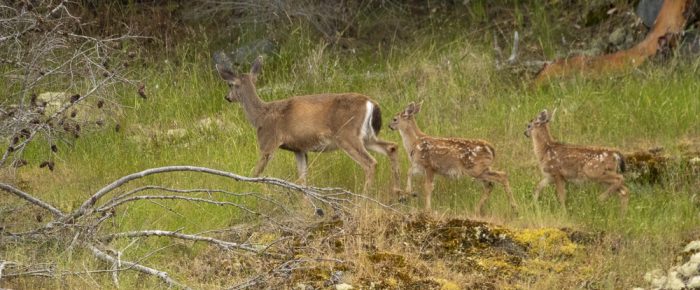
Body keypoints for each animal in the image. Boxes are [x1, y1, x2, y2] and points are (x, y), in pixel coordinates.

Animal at [212, 54, 400, 195]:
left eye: (230, 84)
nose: (227, 97)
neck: (260, 116)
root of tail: (371, 103)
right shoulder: (299, 149)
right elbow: (302, 181)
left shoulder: (268, 142)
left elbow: (255, 173)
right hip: (368, 136)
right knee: (391, 146)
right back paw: (399, 193)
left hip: (347, 135)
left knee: (370, 163)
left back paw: (364, 198)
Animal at [388, 102, 520, 215]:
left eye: (395, 119)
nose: (389, 126)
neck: (415, 143)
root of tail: (491, 149)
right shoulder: (419, 165)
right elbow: (409, 172)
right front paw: (406, 193)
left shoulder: (429, 165)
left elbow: (428, 187)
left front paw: (427, 209)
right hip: (483, 168)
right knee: (491, 184)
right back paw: (477, 210)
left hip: (475, 169)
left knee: (501, 176)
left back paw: (515, 209)